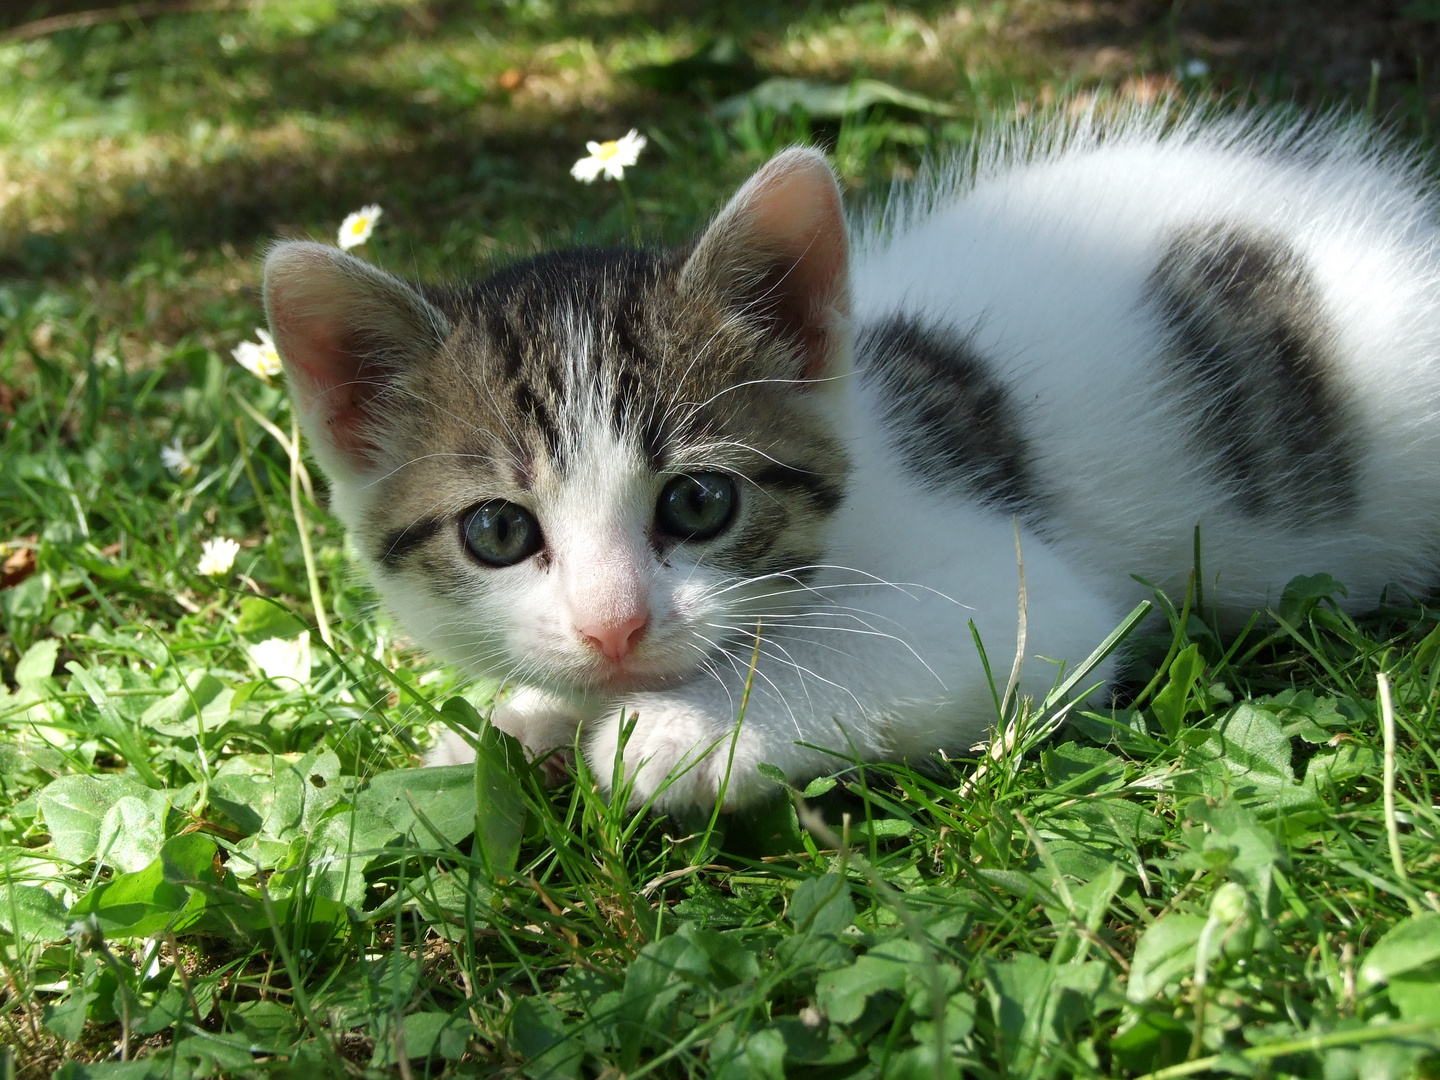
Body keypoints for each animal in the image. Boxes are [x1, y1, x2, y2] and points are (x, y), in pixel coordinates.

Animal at [264, 110, 1440, 817]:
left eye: (699, 502)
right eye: (499, 531)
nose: (614, 628)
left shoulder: (1028, 594)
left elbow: (911, 647)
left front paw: (677, 729)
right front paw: (511, 726)